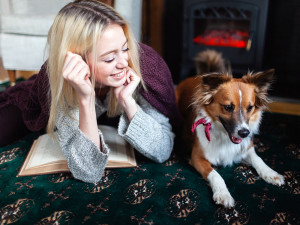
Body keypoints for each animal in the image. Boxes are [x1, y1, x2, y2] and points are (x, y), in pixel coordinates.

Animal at [177, 50, 284, 208]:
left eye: (250, 107)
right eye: (228, 107)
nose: (244, 133)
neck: (224, 138)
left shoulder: (246, 148)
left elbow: (258, 159)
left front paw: (271, 174)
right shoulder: (196, 157)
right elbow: (216, 175)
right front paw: (223, 194)